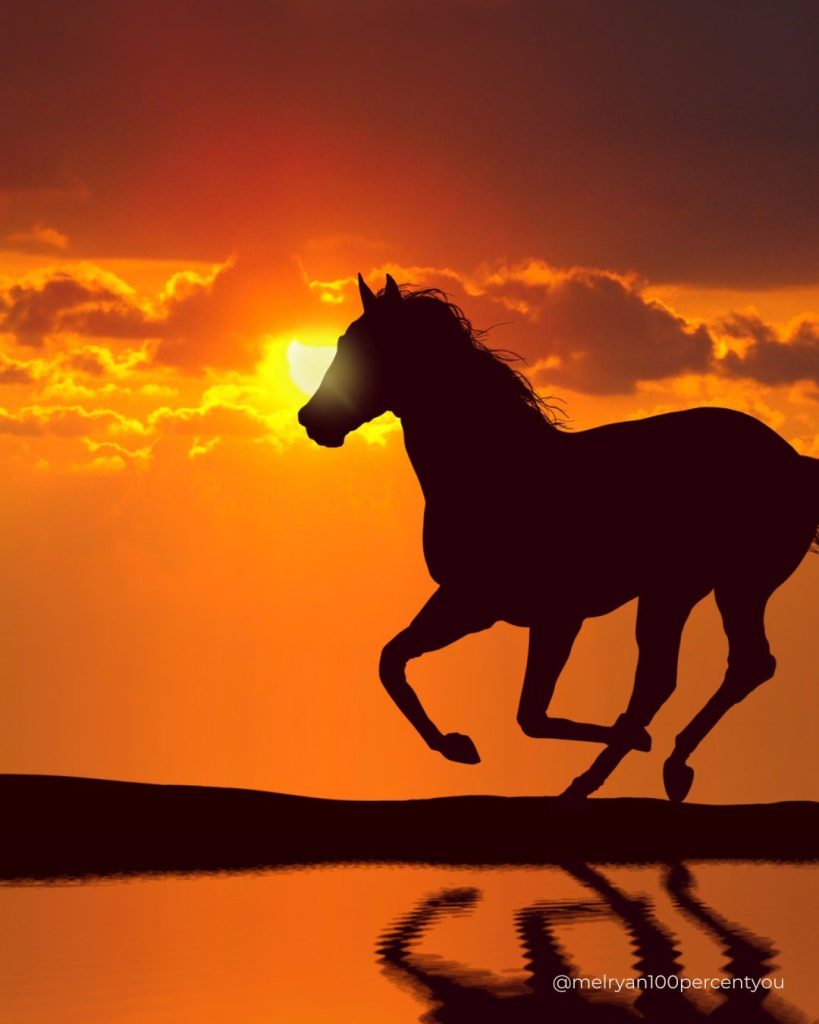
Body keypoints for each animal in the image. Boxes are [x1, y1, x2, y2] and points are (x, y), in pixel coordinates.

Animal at [298, 273, 819, 801]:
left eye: (372, 350)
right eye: (343, 343)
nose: (311, 420)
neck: (498, 472)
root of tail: (794, 462)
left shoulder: (544, 613)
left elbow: (529, 714)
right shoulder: (469, 604)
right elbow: (393, 660)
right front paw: (457, 746)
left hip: (714, 587)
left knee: (704, 673)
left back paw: (624, 771)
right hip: (693, 591)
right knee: (711, 671)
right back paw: (659, 767)